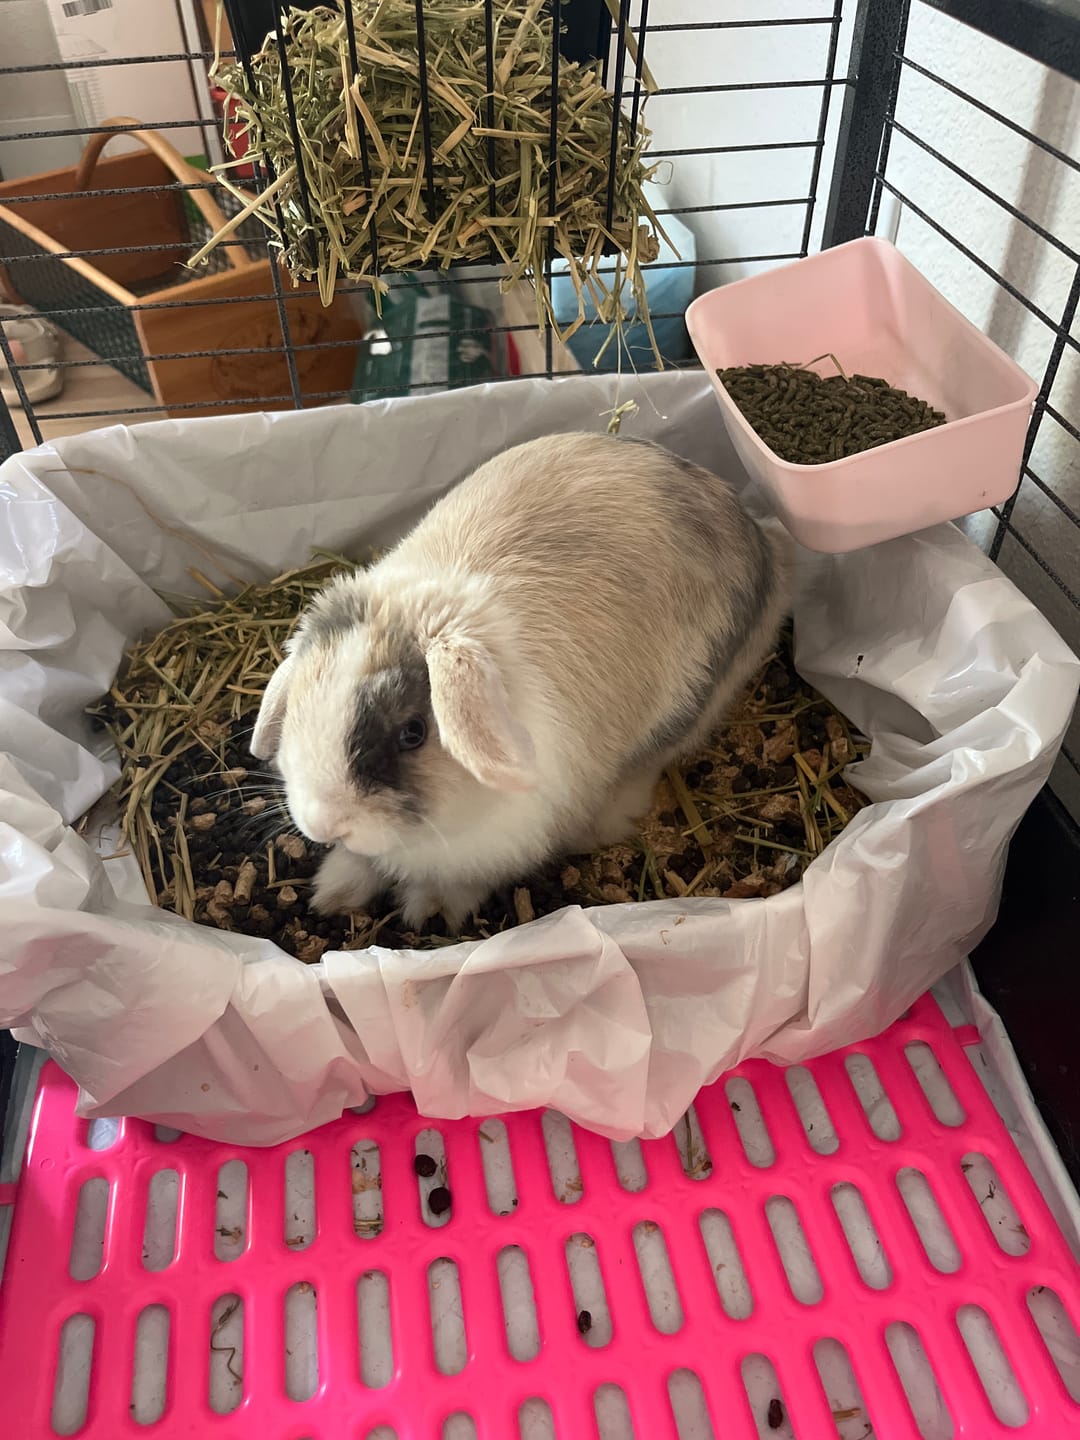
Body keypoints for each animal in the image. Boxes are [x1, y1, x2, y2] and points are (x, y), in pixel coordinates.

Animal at [250, 432, 792, 932]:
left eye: (413, 733)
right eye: (300, 704)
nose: (324, 824)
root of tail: (754, 527)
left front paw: (431, 910)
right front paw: (334, 892)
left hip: (696, 700)